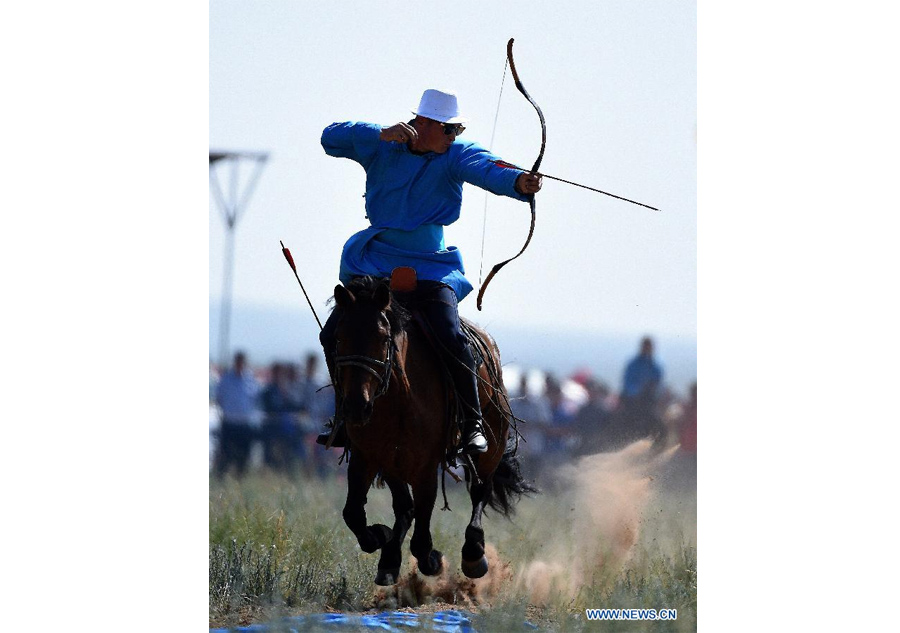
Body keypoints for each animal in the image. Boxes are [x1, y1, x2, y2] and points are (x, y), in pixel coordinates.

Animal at [328, 278, 536, 588]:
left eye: (383, 338)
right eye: (339, 337)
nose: (355, 406)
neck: (399, 397)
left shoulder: (425, 466)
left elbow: (421, 530)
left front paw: (430, 559)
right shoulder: (370, 457)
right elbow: (354, 512)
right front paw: (380, 537)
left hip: (494, 440)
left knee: (480, 489)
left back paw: (473, 553)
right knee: (405, 507)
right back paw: (390, 558)